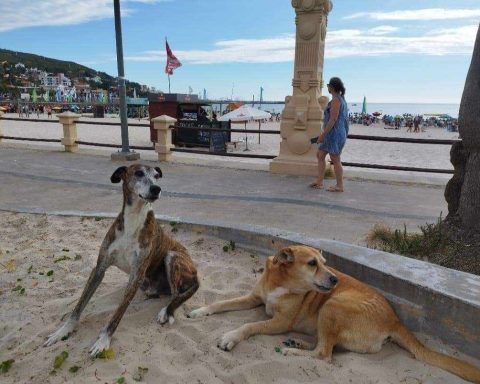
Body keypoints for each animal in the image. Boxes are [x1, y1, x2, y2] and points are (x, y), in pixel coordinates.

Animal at [188, 246, 480, 384]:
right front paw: (200, 310)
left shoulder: (279, 322)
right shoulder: (253, 298)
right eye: (312, 263)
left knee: (325, 354)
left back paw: (292, 350)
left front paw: (230, 337)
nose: (335, 279)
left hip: (333, 305)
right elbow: (222, 302)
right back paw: (298, 343)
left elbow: (249, 326)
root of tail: (395, 319)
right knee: (327, 346)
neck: (280, 282)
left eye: (325, 263)